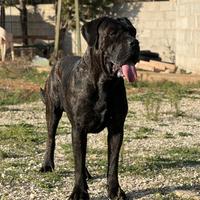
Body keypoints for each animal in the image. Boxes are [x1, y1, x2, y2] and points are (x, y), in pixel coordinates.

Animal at [40, 17, 140, 200]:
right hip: (52, 112)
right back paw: (47, 165)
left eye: (133, 32)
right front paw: (79, 192)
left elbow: (112, 163)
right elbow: (78, 160)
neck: (104, 83)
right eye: (112, 33)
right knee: (51, 139)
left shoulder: (116, 129)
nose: (135, 43)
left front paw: (115, 191)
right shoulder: (79, 128)